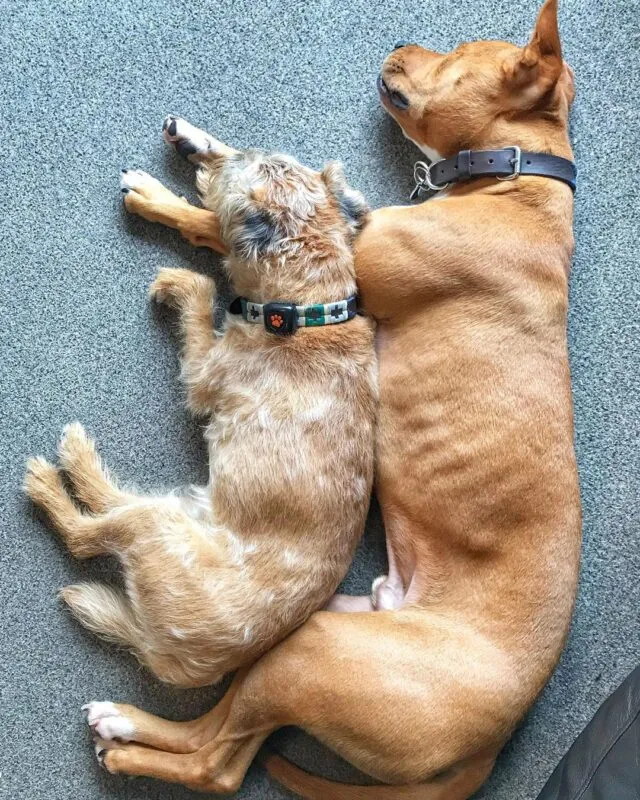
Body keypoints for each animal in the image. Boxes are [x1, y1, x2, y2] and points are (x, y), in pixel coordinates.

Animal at [22, 131, 378, 688]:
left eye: (243, 166)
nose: (210, 156)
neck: (308, 310)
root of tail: (169, 658)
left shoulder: (203, 372)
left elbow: (203, 287)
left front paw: (178, 282)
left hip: (157, 527)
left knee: (85, 536)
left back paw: (53, 474)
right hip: (176, 508)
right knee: (110, 500)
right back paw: (80, 459)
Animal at [76, 3, 580, 796]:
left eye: (457, 52)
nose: (398, 42)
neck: (521, 180)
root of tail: (491, 746)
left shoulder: (352, 254)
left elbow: (218, 226)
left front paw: (172, 200)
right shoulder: (351, 214)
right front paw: (198, 145)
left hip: (312, 662)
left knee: (218, 762)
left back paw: (124, 732)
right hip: (313, 633)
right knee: (233, 741)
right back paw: (126, 724)